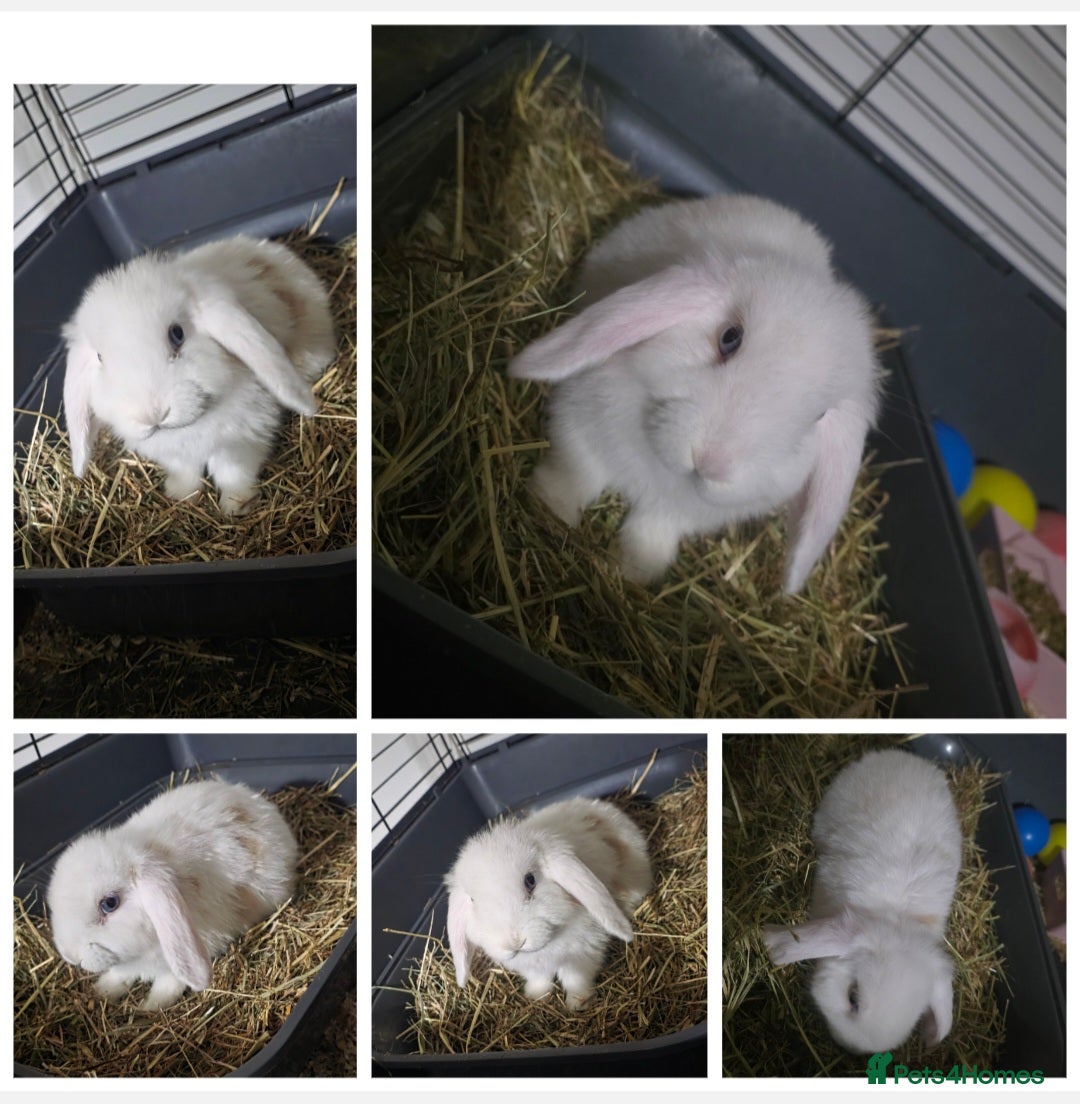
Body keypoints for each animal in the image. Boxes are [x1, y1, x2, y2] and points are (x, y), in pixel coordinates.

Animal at [46, 779, 299, 1011]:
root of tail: (261, 803)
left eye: (109, 903)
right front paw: (102, 991)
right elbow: (119, 975)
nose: (70, 955)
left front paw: (150, 1007)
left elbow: (170, 981)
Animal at [62, 235, 337, 515]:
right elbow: (186, 472)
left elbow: (233, 472)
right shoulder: (177, 456)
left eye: (177, 334)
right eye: (100, 358)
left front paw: (235, 505)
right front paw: (180, 495)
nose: (152, 416)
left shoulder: (240, 441)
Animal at [444, 796, 652, 1010]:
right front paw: (536, 996)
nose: (514, 942)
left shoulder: (582, 954)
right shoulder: (534, 968)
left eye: (530, 881)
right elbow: (540, 979)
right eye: (472, 899)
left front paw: (577, 1004)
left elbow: (576, 979)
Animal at [508, 194, 882, 593]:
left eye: (818, 416)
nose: (712, 462)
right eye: (730, 338)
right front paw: (550, 505)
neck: (658, 465)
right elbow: (577, 471)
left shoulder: (678, 514)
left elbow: (653, 528)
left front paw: (635, 570)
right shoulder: (578, 426)